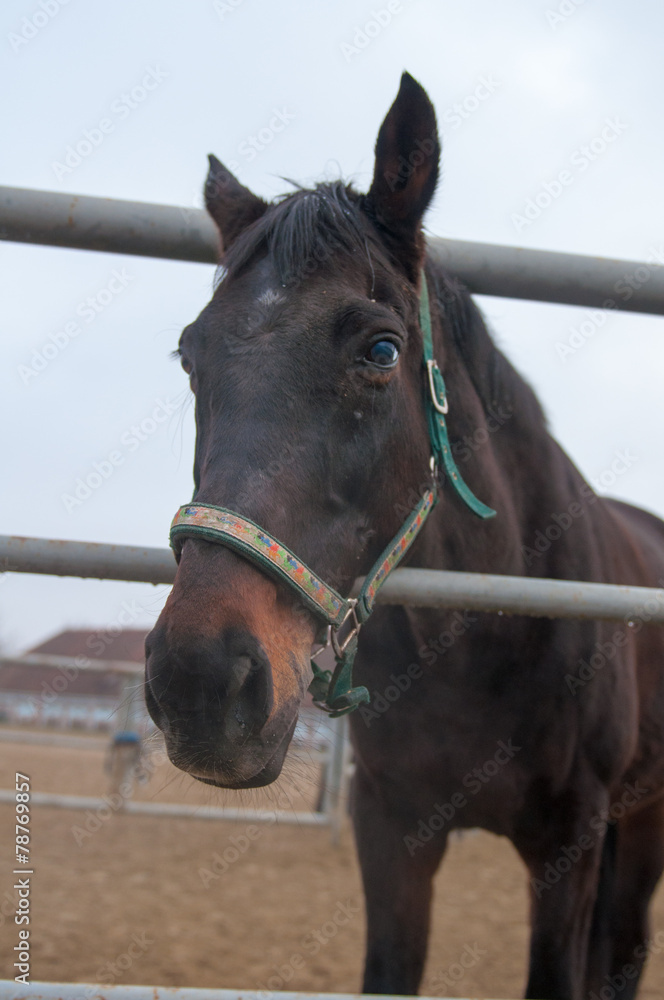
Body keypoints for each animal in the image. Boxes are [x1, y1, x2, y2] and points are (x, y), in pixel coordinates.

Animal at [144, 73, 664, 999]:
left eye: (382, 350)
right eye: (190, 358)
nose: (198, 684)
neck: (488, 639)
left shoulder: (572, 839)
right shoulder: (389, 830)